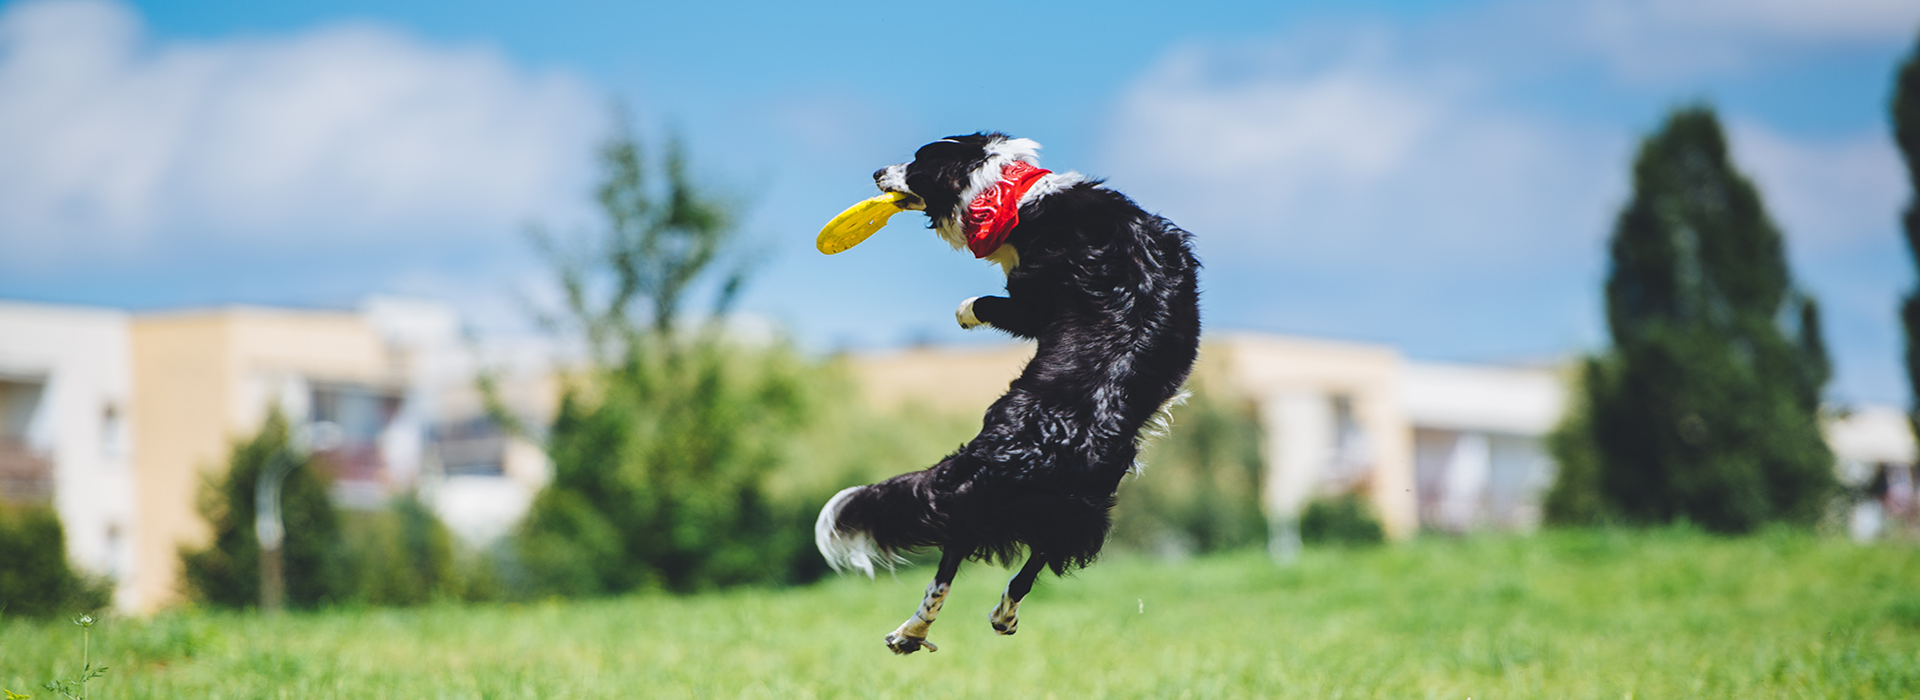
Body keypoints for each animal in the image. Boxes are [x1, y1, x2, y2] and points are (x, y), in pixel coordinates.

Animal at [817, 132, 1205, 655]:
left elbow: (989, 303)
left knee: (950, 565)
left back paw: (911, 631)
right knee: (1019, 566)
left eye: (917, 163)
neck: (1008, 193)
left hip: (996, 503)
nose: (877, 172)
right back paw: (978, 620)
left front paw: (964, 311)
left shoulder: (1029, 304)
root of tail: (1021, 447)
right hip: (1073, 509)